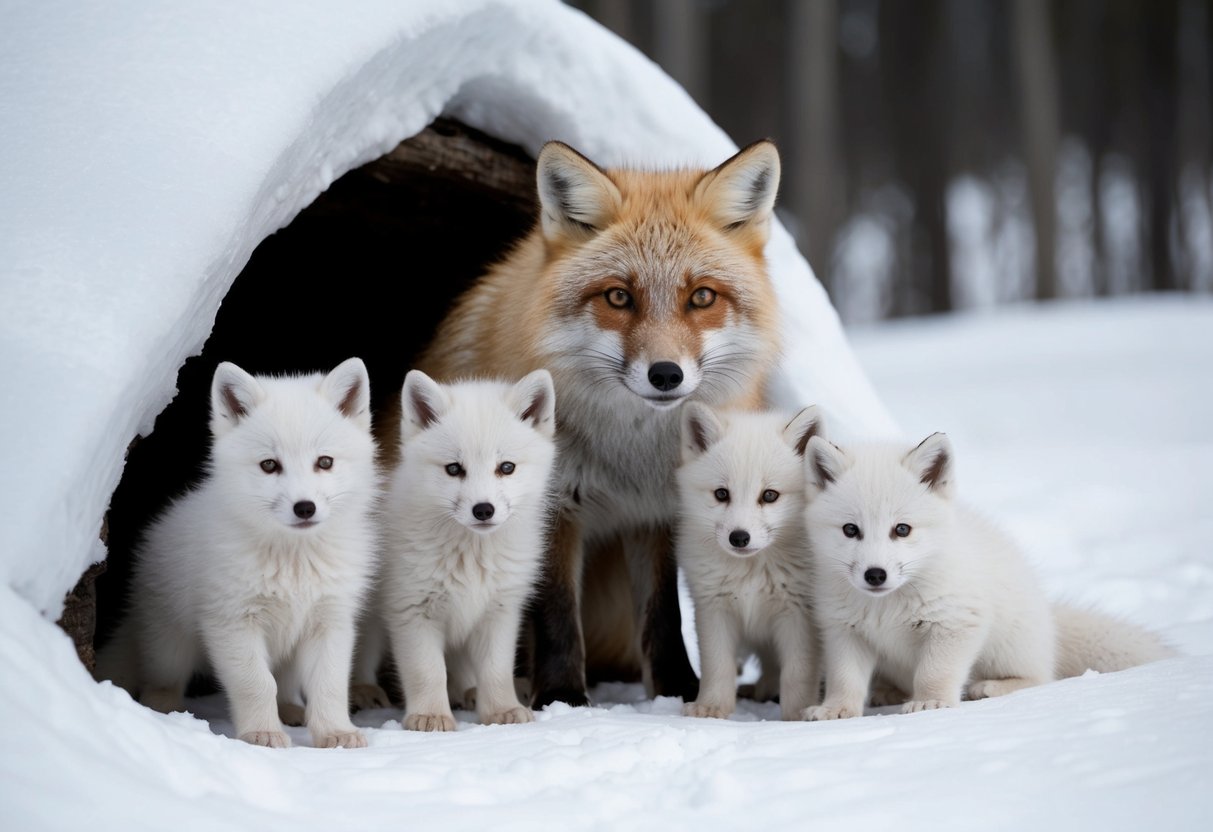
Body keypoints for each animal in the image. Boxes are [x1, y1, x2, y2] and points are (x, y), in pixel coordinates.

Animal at [94, 358, 379, 748]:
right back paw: (167, 715)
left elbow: (329, 686)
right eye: (269, 465)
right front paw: (262, 734)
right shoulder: (233, 623)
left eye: (324, 462)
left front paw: (335, 733)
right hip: (171, 646)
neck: (294, 561)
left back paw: (291, 712)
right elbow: (256, 685)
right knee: (160, 683)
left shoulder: (330, 622)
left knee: (286, 686)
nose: (304, 508)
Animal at [370, 369, 557, 731]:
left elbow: (496, 671)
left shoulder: (499, 612)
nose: (483, 510)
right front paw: (430, 716)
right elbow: (427, 672)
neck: (471, 556)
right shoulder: (412, 611)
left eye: (506, 467)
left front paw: (501, 711)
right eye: (454, 469)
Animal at [391, 139, 784, 708]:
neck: (629, 460)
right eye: (619, 296)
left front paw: (678, 691)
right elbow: (554, 609)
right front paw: (560, 696)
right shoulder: (551, 507)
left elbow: (662, 613)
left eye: (702, 297)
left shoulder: (656, 513)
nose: (666, 374)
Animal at [675, 402, 824, 721]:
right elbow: (717, 666)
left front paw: (795, 717)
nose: (739, 537)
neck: (752, 572)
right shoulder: (713, 609)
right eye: (721, 493)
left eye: (769, 495)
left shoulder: (798, 614)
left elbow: (797, 673)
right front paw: (712, 708)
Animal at [801, 433, 1177, 721]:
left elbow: (934, 673)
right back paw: (887, 691)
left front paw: (931, 702)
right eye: (851, 530)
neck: (888, 606)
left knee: (1041, 677)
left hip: (1006, 647)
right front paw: (836, 710)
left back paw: (989, 687)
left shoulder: (956, 622)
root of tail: (1050, 619)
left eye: (902, 529)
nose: (875, 575)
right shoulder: (844, 631)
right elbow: (845, 679)